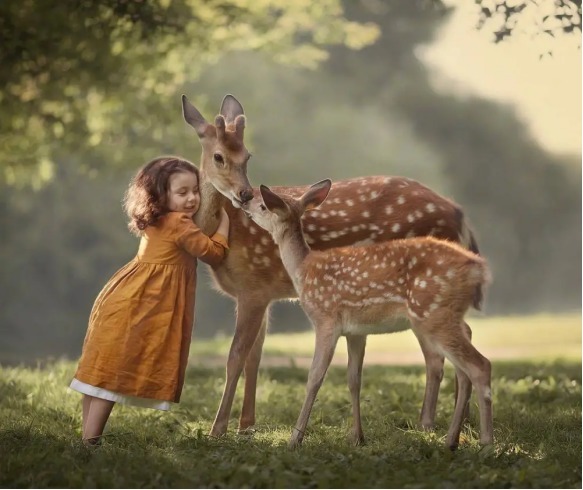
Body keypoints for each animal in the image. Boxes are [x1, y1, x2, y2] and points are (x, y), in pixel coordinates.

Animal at [242, 180, 492, 448]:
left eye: (263, 205)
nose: (245, 201)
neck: (303, 269)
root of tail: (478, 268)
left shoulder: (325, 318)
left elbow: (315, 377)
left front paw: (295, 438)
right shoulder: (355, 332)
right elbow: (354, 380)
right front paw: (357, 436)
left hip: (433, 313)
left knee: (479, 365)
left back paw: (486, 443)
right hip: (442, 315)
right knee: (465, 365)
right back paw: (452, 440)